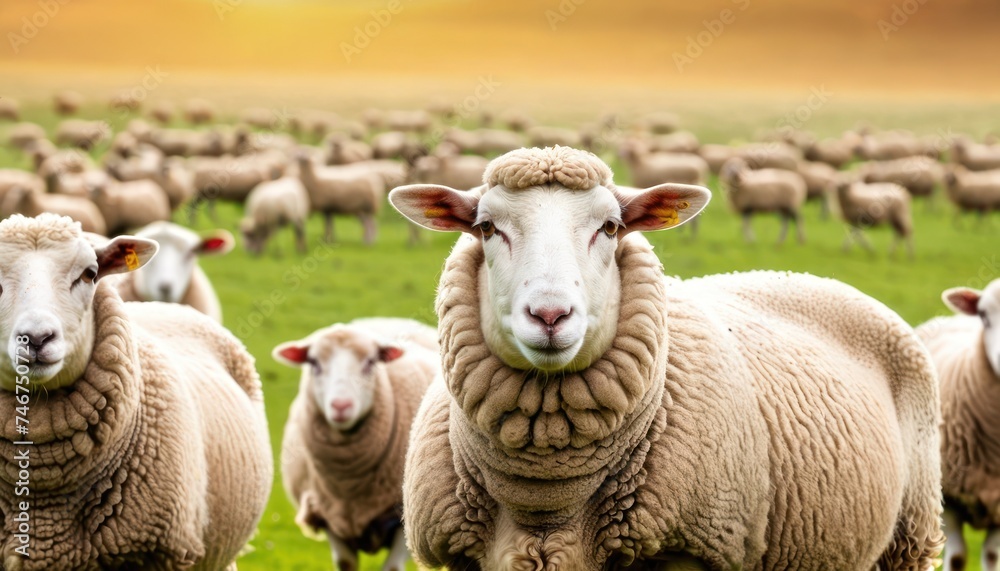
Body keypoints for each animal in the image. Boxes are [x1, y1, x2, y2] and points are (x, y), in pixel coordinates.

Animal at [274, 318, 439, 571]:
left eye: (370, 362)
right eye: (313, 362)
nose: (341, 405)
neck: (349, 484)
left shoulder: (403, 518)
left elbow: (392, 567)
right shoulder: (328, 514)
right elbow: (346, 563)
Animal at [390, 146, 943, 570]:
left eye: (611, 227)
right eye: (487, 228)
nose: (550, 315)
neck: (546, 500)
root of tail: (809, 277)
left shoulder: (690, 549)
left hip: (909, 537)